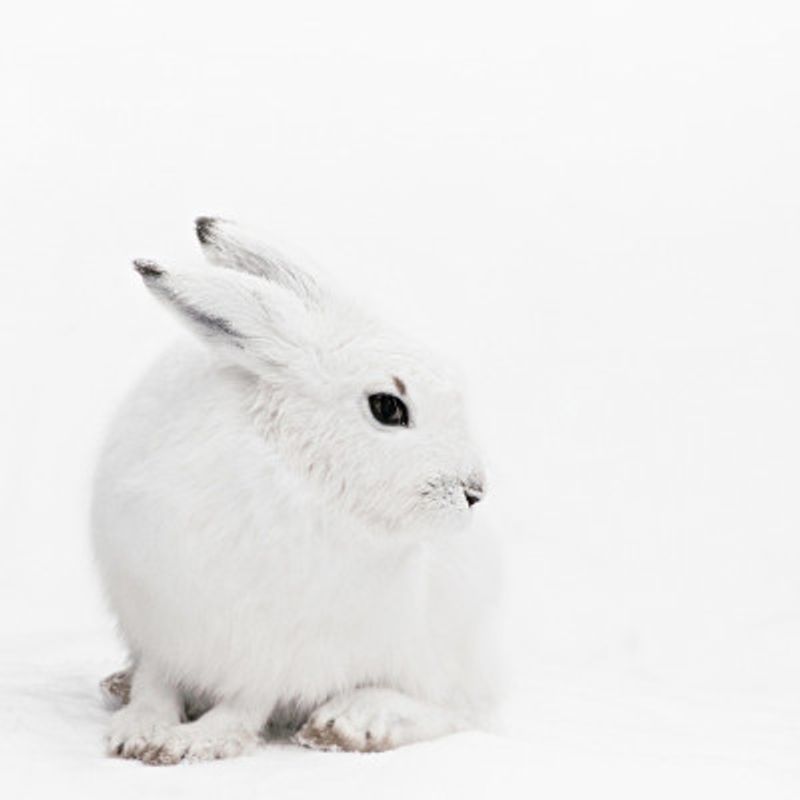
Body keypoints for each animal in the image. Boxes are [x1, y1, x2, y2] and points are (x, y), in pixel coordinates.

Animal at [91, 218, 500, 765]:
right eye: (388, 407)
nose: (474, 490)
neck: (294, 472)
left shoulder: (281, 654)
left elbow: (246, 705)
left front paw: (191, 742)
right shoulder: (161, 624)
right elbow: (157, 684)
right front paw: (139, 730)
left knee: (451, 709)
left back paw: (350, 724)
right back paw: (118, 683)